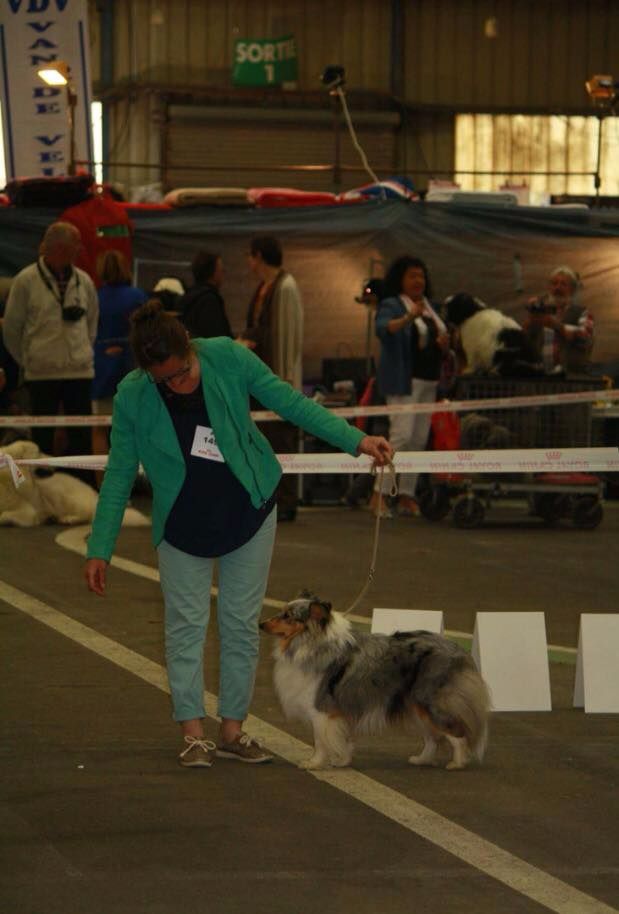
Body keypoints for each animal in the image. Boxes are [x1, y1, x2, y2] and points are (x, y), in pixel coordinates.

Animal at [0, 440, 150, 528]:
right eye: (39, 453)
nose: (54, 458)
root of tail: (94, 496)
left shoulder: (29, 512)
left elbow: (5, 515)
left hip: (64, 496)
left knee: (87, 515)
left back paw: (67, 519)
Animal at [260, 592, 492, 768]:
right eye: (281, 612)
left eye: (288, 616)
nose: (260, 623)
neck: (311, 643)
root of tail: (459, 651)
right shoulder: (339, 712)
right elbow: (342, 740)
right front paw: (343, 760)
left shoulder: (321, 709)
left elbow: (321, 741)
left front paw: (314, 763)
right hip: (415, 707)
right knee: (432, 738)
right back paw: (421, 759)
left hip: (429, 704)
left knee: (457, 734)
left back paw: (457, 763)